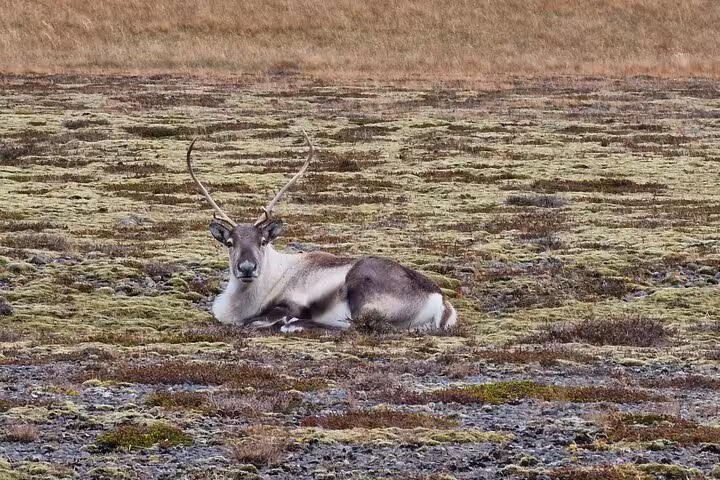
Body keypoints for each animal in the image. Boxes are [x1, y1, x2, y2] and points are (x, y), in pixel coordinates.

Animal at [186, 131, 457, 333]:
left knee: (354, 325)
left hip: (362, 289)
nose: (246, 268)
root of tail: (441, 302)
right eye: (229, 242)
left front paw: (284, 322)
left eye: (263, 241)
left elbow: (253, 321)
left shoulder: (292, 304)